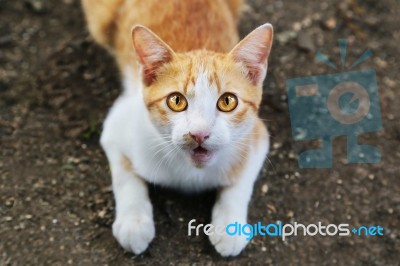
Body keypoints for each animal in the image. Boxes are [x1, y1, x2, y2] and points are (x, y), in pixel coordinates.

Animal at [83, 0, 274, 258]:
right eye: (176, 101)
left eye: (228, 101)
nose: (199, 133)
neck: (190, 172)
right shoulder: (116, 125)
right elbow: (125, 176)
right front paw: (134, 223)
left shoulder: (258, 136)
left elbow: (240, 183)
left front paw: (230, 226)